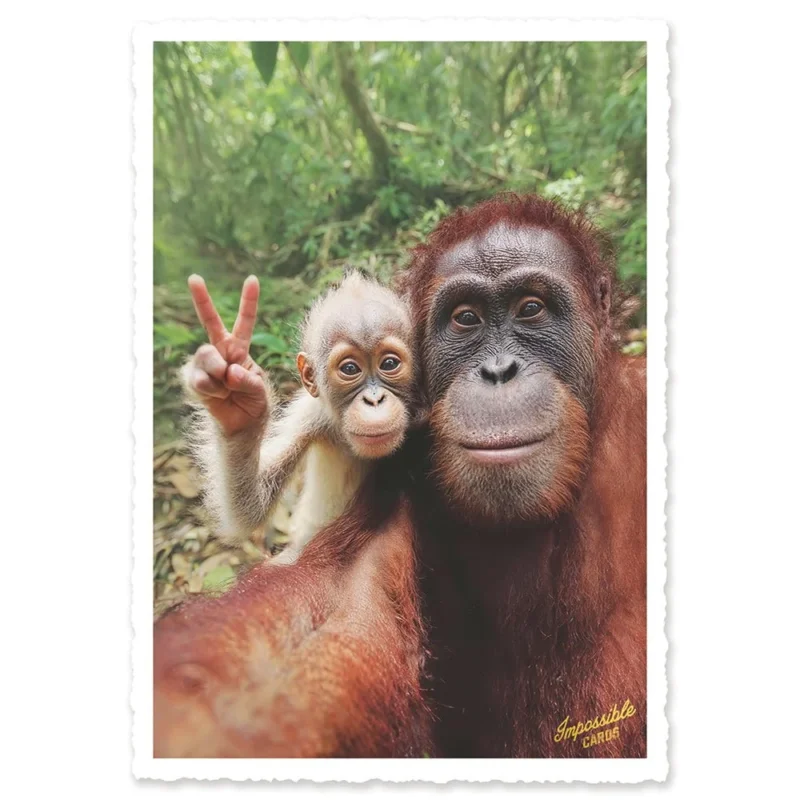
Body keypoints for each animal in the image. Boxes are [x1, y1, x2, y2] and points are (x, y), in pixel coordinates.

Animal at [182, 271, 420, 559]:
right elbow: (249, 511)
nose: (374, 400)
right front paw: (236, 405)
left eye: (389, 364)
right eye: (350, 369)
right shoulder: (309, 417)